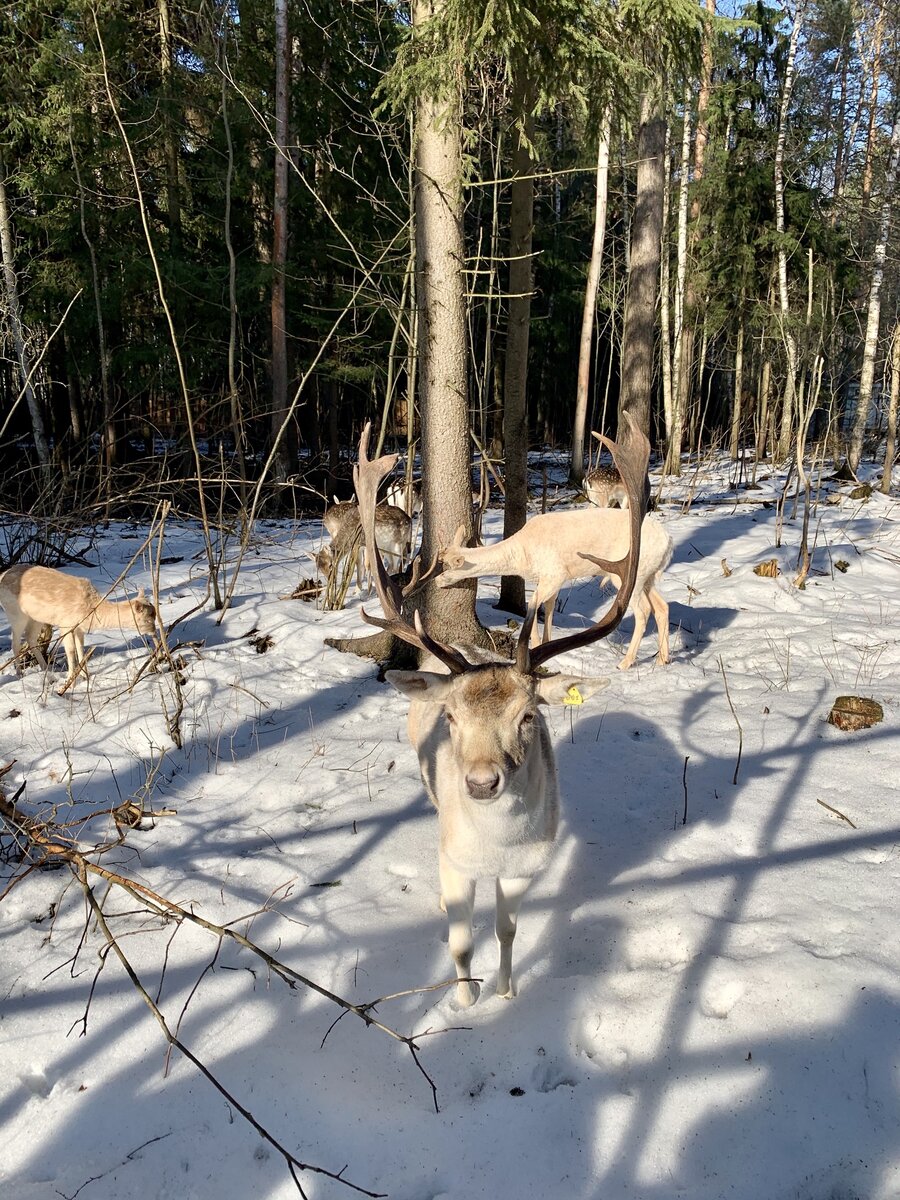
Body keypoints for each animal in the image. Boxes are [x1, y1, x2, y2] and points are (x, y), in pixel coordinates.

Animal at [0, 564, 157, 691]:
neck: (90, 612)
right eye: (148, 619)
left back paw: (46, 669)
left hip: (36, 617)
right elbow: (70, 651)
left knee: (30, 637)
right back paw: (19, 673)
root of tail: (2, 575)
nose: (155, 632)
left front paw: (86, 675)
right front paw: (71, 682)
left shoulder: (79, 628)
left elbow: (81, 648)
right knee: (15, 643)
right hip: (15, 613)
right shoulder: (65, 624)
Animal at [436, 499, 672, 672]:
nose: (437, 581)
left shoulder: (555, 573)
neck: (522, 557)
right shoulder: (550, 580)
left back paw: (625, 662)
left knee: (644, 611)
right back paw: (663, 659)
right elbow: (549, 607)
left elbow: (533, 604)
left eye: (447, 567)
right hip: (648, 575)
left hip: (630, 575)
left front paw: (534, 645)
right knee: (662, 606)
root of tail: (668, 542)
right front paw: (546, 643)